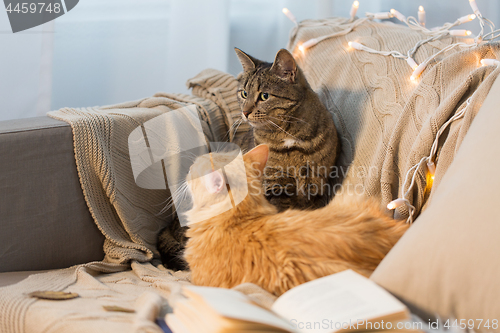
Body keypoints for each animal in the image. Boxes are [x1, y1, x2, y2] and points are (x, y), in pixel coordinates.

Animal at [235, 47, 340, 210]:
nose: (245, 112)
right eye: (244, 94)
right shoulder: (275, 182)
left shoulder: (316, 184)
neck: (288, 133)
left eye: (264, 96)